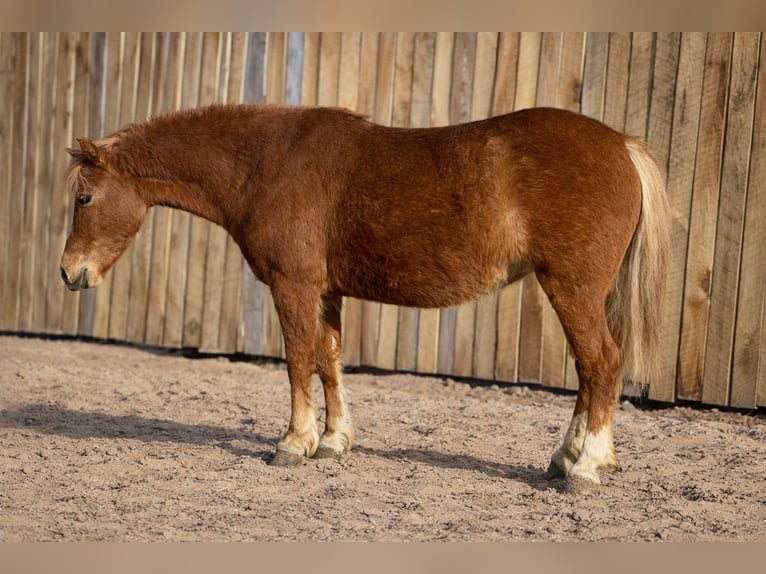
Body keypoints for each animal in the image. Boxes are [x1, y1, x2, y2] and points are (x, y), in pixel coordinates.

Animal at [60, 103, 669, 494]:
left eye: (84, 198)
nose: (69, 273)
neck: (268, 165)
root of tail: (621, 145)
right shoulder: (326, 292)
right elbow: (329, 362)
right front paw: (333, 441)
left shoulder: (294, 285)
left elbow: (297, 361)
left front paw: (293, 444)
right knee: (589, 372)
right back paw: (567, 458)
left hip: (571, 288)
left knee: (601, 364)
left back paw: (586, 468)